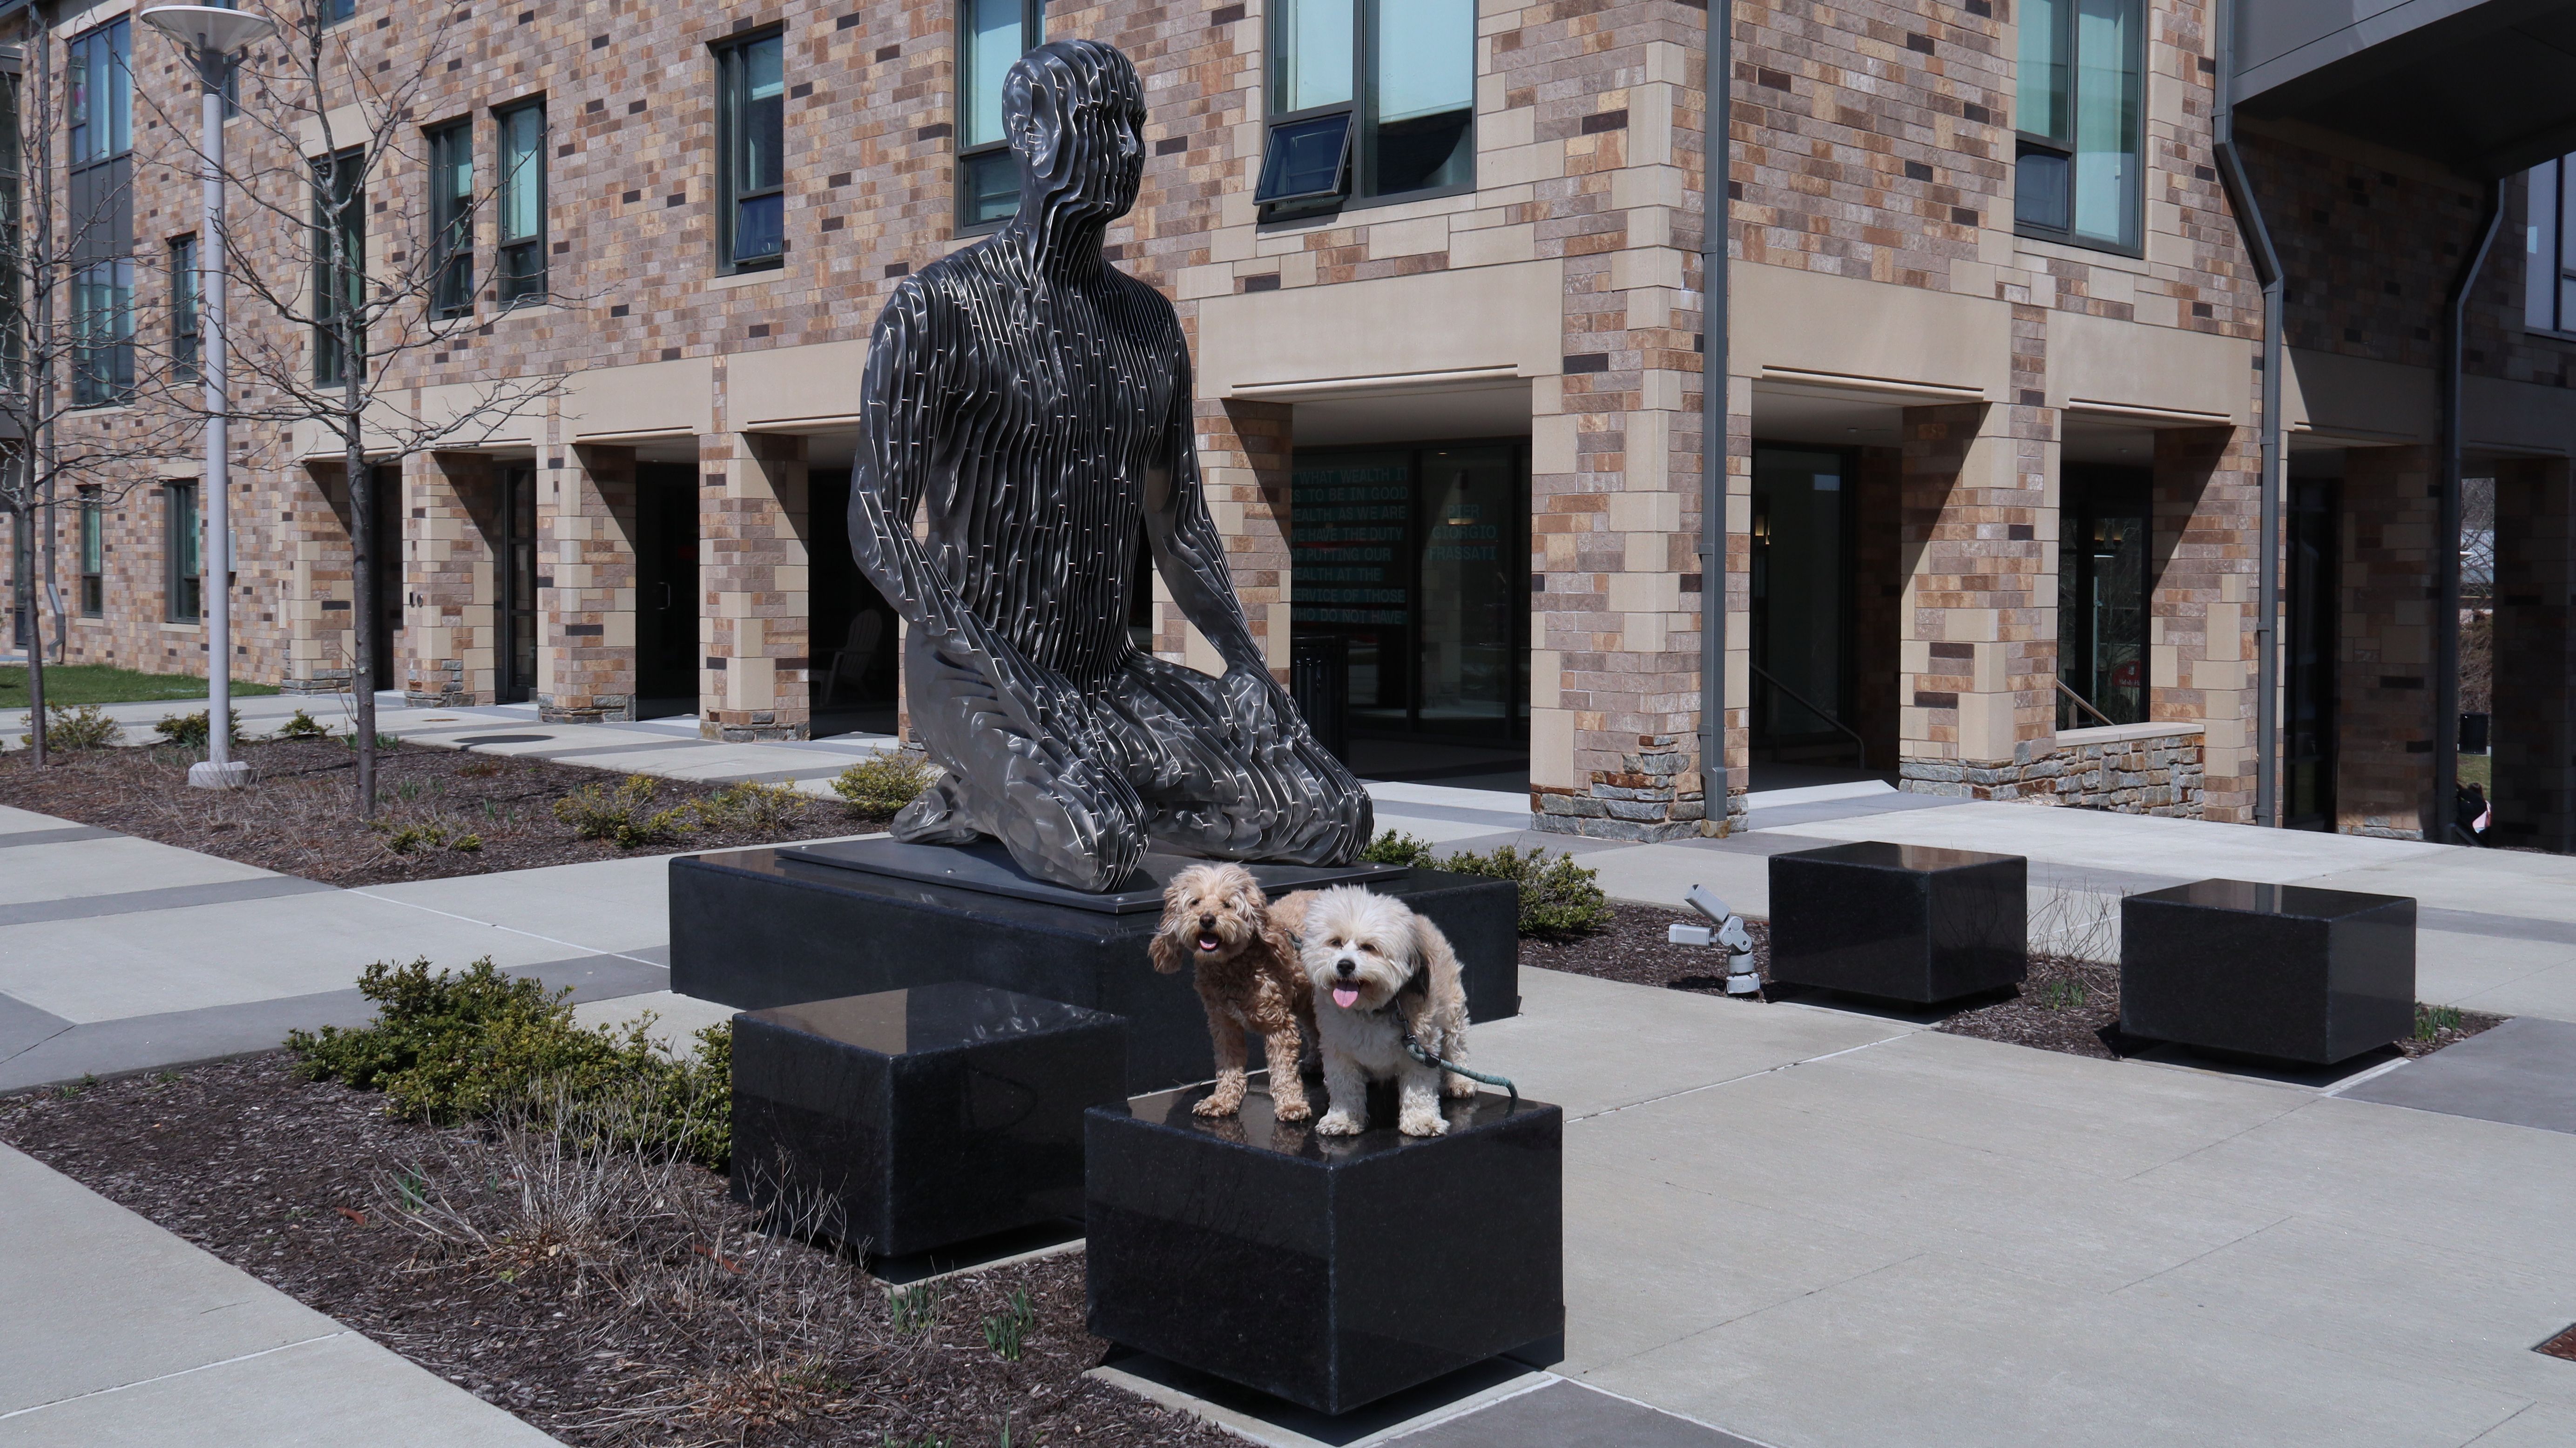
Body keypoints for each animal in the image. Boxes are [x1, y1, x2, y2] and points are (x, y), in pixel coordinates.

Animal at [1149, 864, 1315, 1121]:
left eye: (1227, 904)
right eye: (1195, 902)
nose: (1207, 919)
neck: (1233, 967)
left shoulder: (1279, 1025)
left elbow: (1283, 1069)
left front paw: (1291, 1104)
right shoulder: (1223, 1022)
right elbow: (1228, 1064)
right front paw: (1222, 1100)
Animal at [1294, 886, 1474, 1137]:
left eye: (1369, 947)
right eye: (1336, 943)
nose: (1345, 965)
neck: (1370, 1010)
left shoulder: (1421, 1050)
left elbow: (1419, 1088)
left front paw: (1422, 1120)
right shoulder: (1338, 1050)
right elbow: (1345, 1086)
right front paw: (1343, 1119)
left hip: (1453, 1012)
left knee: (1456, 1046)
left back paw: (1460, 1081)